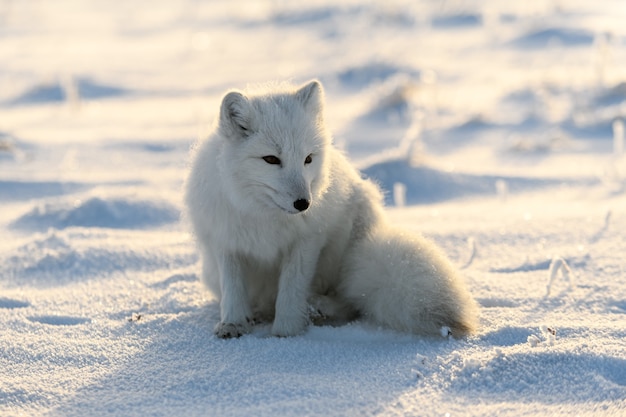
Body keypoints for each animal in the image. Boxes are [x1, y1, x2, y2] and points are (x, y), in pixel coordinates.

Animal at [183, 79, 476, 338]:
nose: (304, 204)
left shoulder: (306, 242)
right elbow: (233, 290)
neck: (264, 215)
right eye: (271, 159)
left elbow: (291, 290)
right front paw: (233, 324)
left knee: (351, 302)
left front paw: (285, 333)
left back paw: (318, 309)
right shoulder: (226, 242)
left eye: (308, 159)